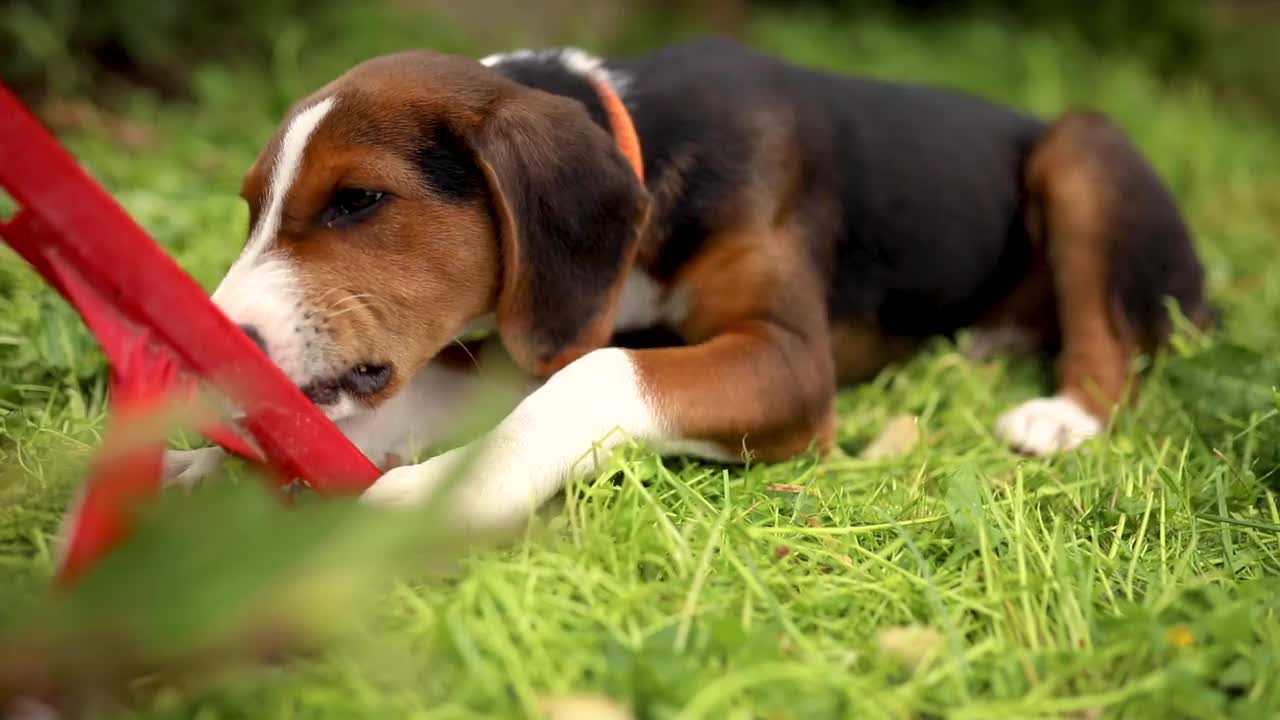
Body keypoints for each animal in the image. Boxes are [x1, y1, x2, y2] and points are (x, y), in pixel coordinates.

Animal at [170, 39, 1208, 527]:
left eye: (359, 200)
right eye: (252, 206)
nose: (208, 346)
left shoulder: (787, 360)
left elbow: (591, 380)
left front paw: (441, 495)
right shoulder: (542, 326)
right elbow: (430, 392)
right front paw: (215, 466)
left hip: (1081, 147)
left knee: (1111, 333)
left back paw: (1060, 415)